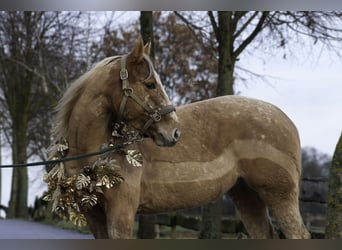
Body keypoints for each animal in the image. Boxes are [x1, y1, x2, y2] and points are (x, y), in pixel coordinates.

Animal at [44, 38, 310, 238]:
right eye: (150, 84)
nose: (173, 132)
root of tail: (286, 120)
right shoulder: (94, 216)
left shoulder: (121, 213)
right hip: (246, 196)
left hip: (279, 196)